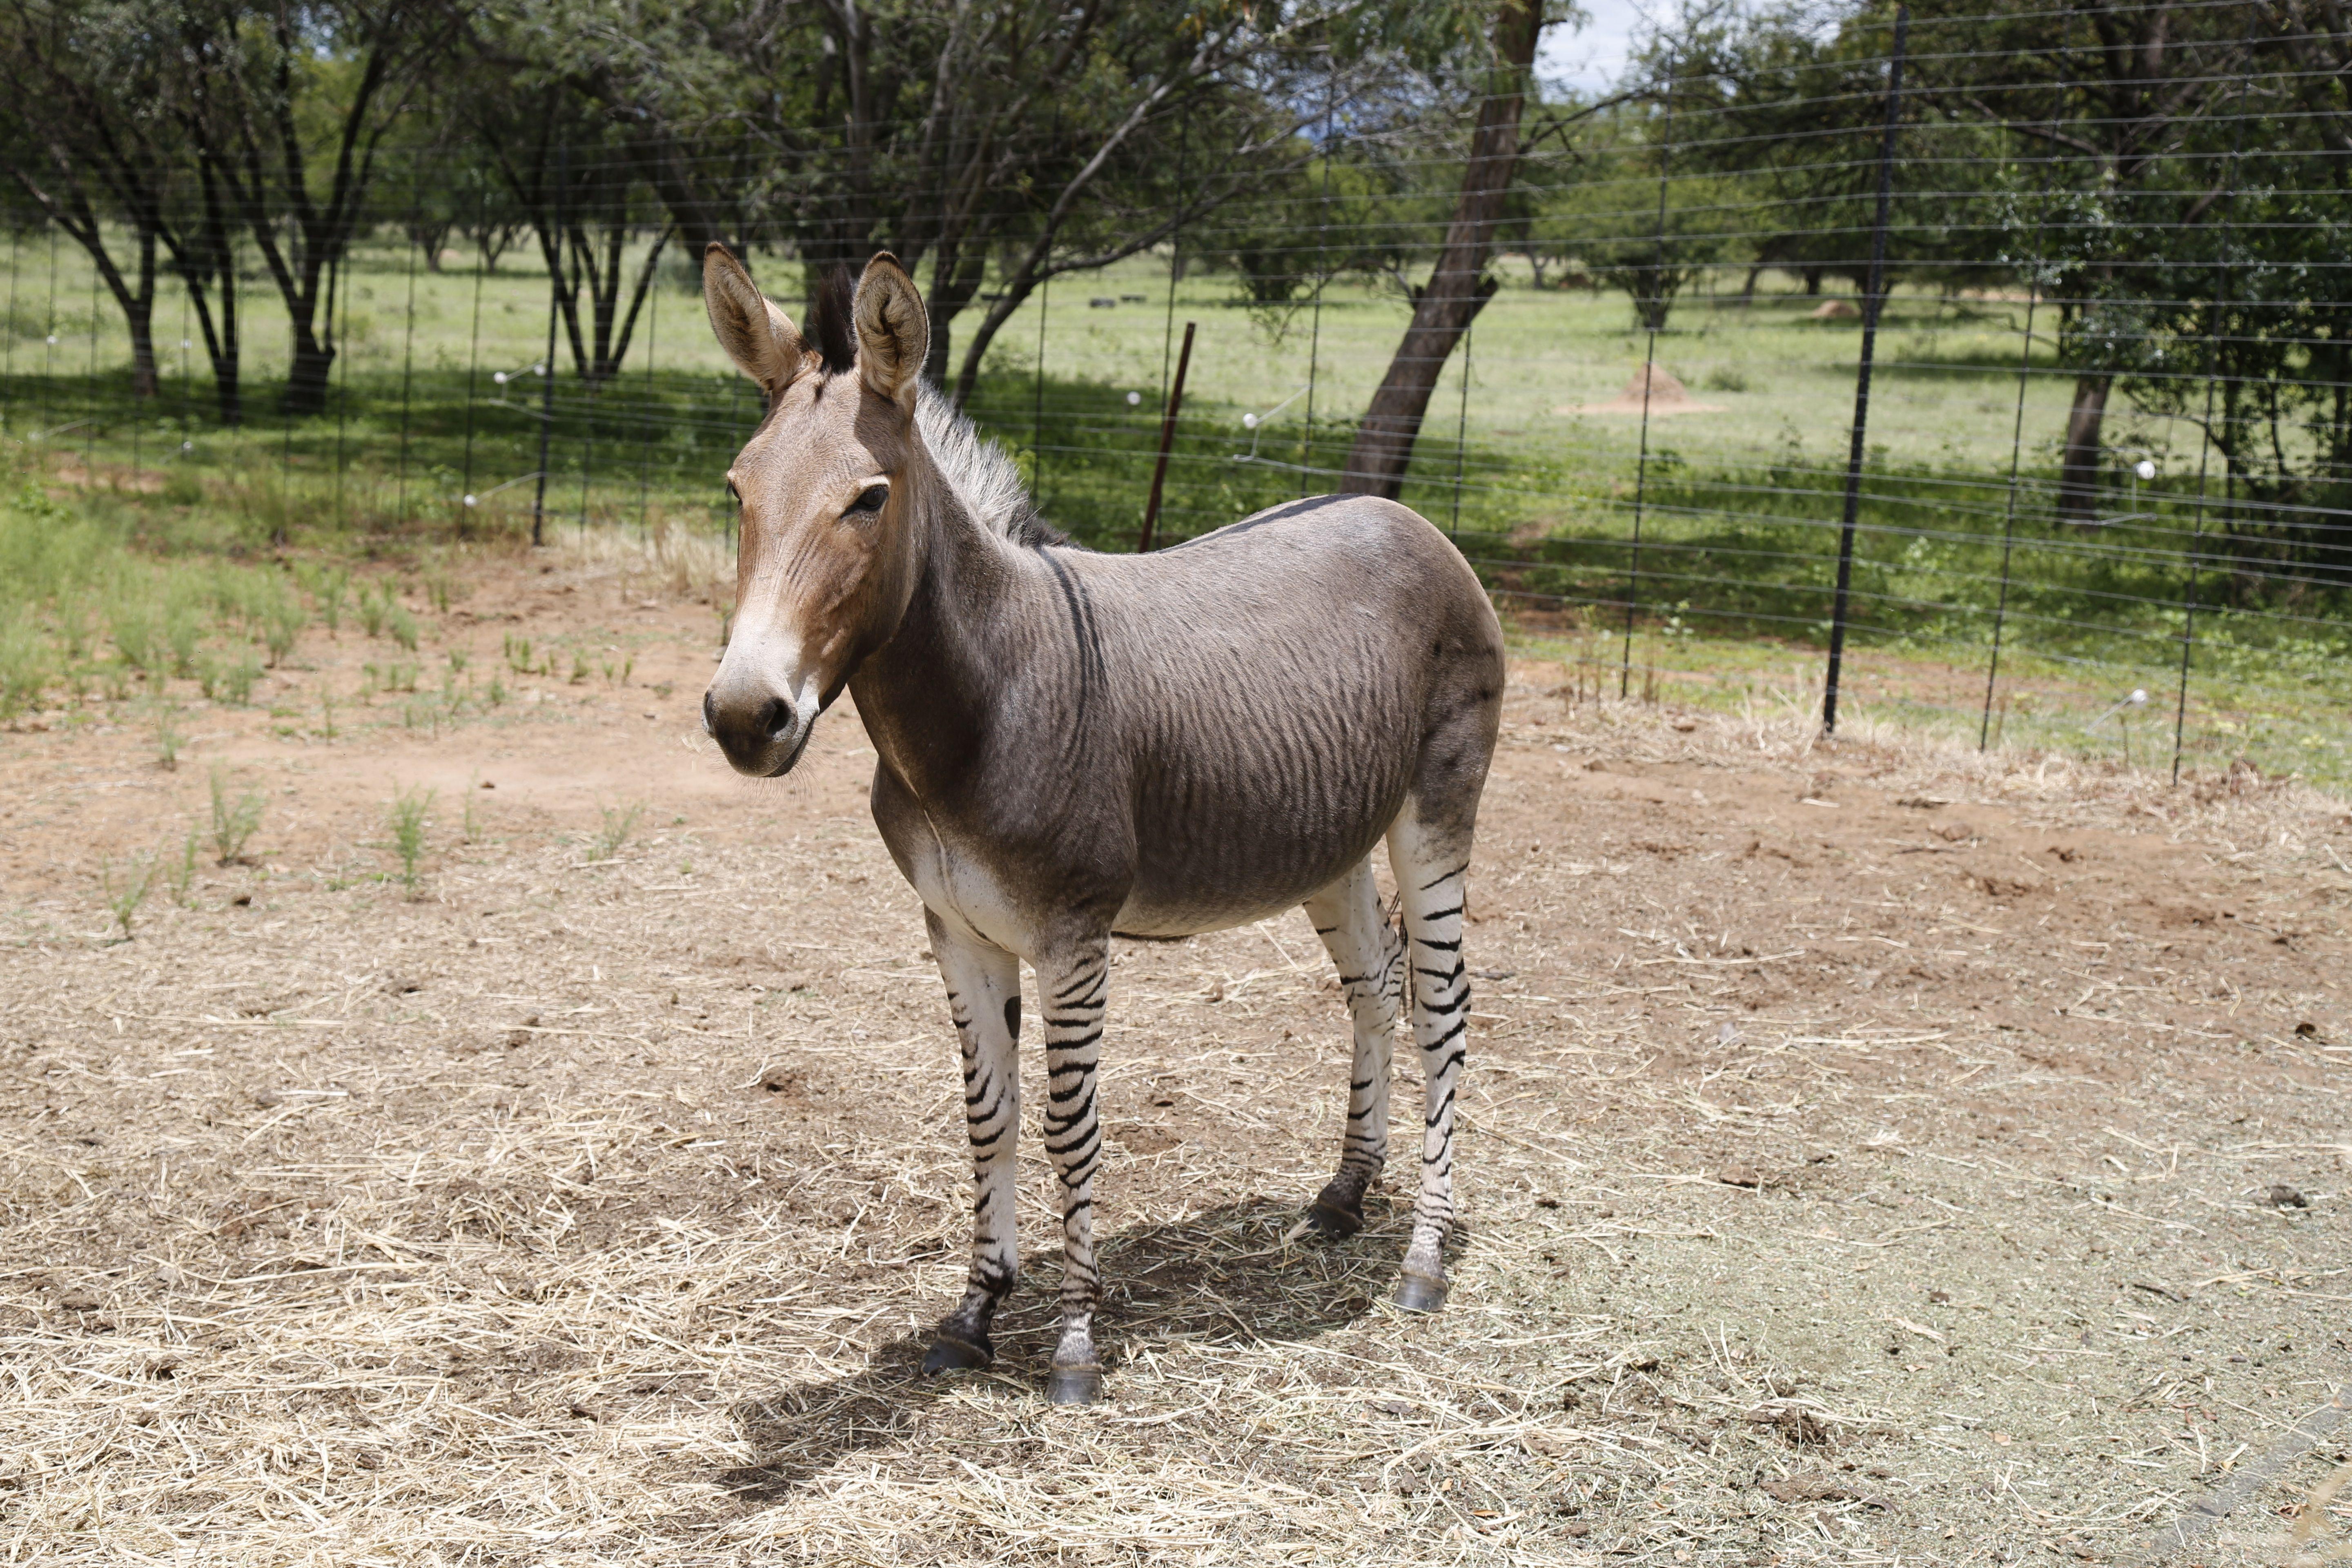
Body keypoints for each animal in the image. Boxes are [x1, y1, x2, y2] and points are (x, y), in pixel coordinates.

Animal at [696, 246, 1503, 1404]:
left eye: (868, 500)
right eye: (737, 492)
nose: (742, 716)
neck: (985, 697)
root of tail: (1404, 515)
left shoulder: (1074, 936)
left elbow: (1068, 1124)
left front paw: (1075, 1343)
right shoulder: (956, 929)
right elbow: (988, 1118)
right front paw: (976, 1314)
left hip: (1435, 813)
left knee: (1442, 1003)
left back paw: (1424, 1257)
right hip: (1330, 841)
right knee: (1375, 986)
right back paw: (1345, 1196)